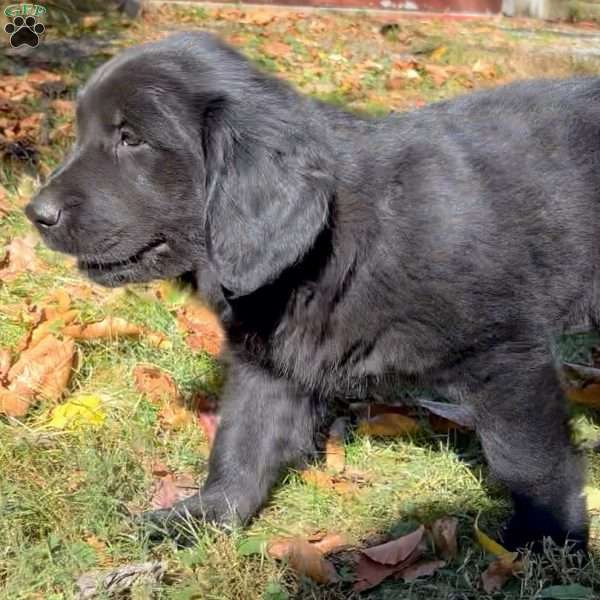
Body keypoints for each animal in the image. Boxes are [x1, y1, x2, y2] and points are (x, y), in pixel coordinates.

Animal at [25, 31, 596, 548]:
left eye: (132, 139)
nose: (35, 214)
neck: (331, 246)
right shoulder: (268, 362)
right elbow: (241, 442)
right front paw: (205, 516)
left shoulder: (507, 354)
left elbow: (528, 458)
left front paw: (547, 536)